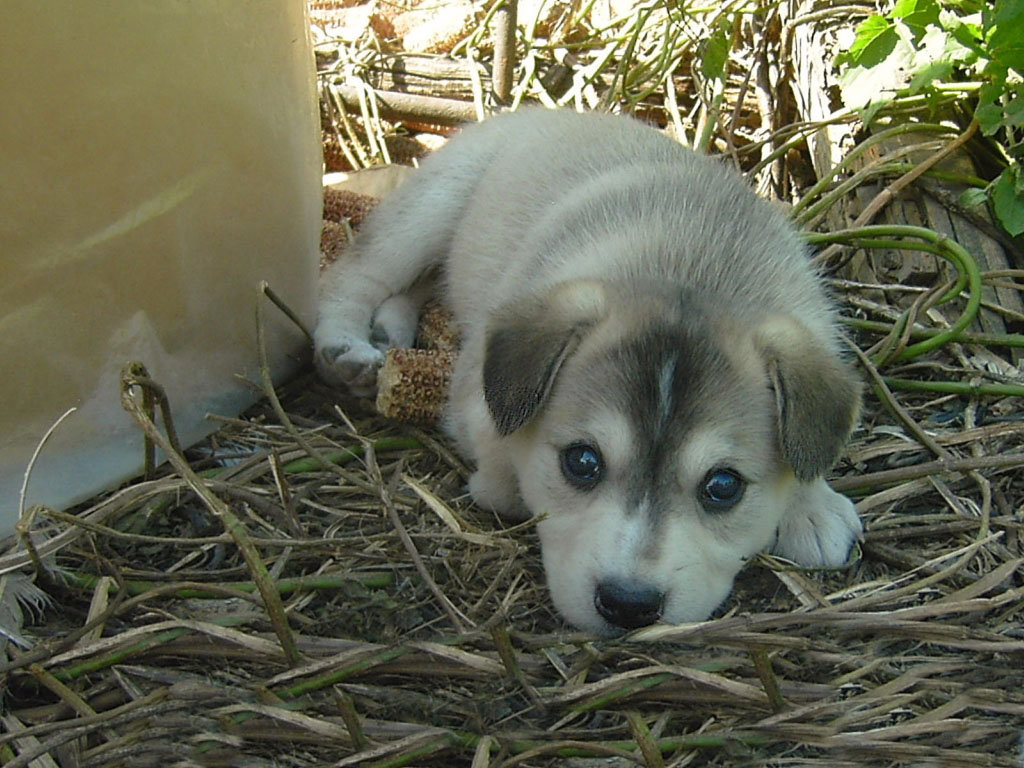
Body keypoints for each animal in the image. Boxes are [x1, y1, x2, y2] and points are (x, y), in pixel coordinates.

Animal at [315, 108, 860, 638]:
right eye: (582, 462)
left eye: (724, 486)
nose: (628, 605)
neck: (694, 269)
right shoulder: (474, 399)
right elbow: (503, 465)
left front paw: (813, 506)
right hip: (428, 211)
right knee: (356, 276)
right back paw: (347, 346)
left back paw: (389, 331)